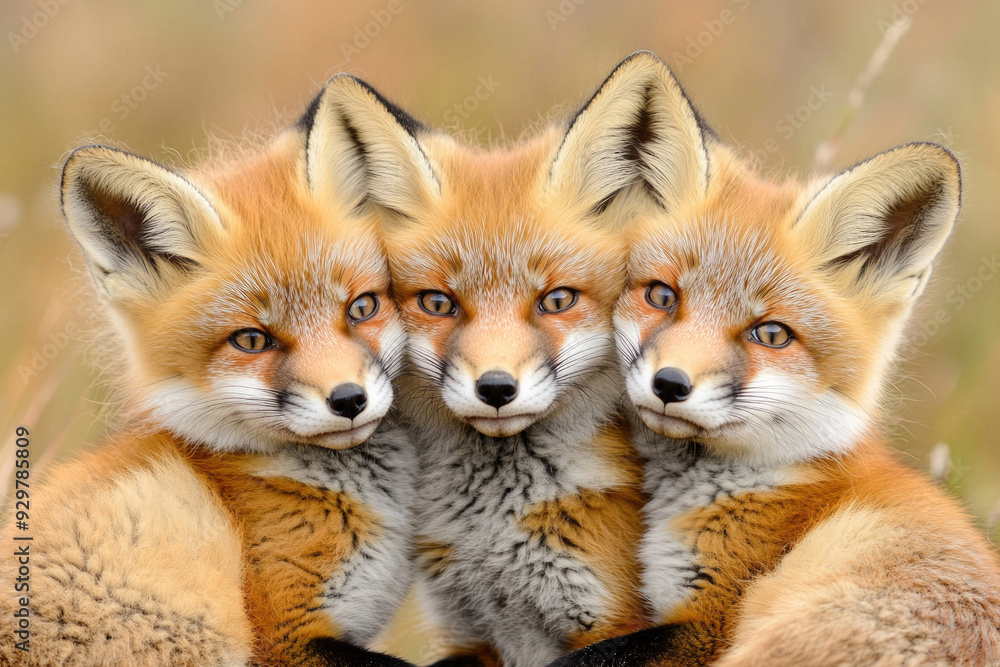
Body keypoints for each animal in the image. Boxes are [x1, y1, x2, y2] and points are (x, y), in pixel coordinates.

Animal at [364, 64, 687, 667]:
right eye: (438, 303)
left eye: (556, 300)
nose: (495, 388)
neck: (492, 531)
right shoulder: (469, 630)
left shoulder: (609, 619)